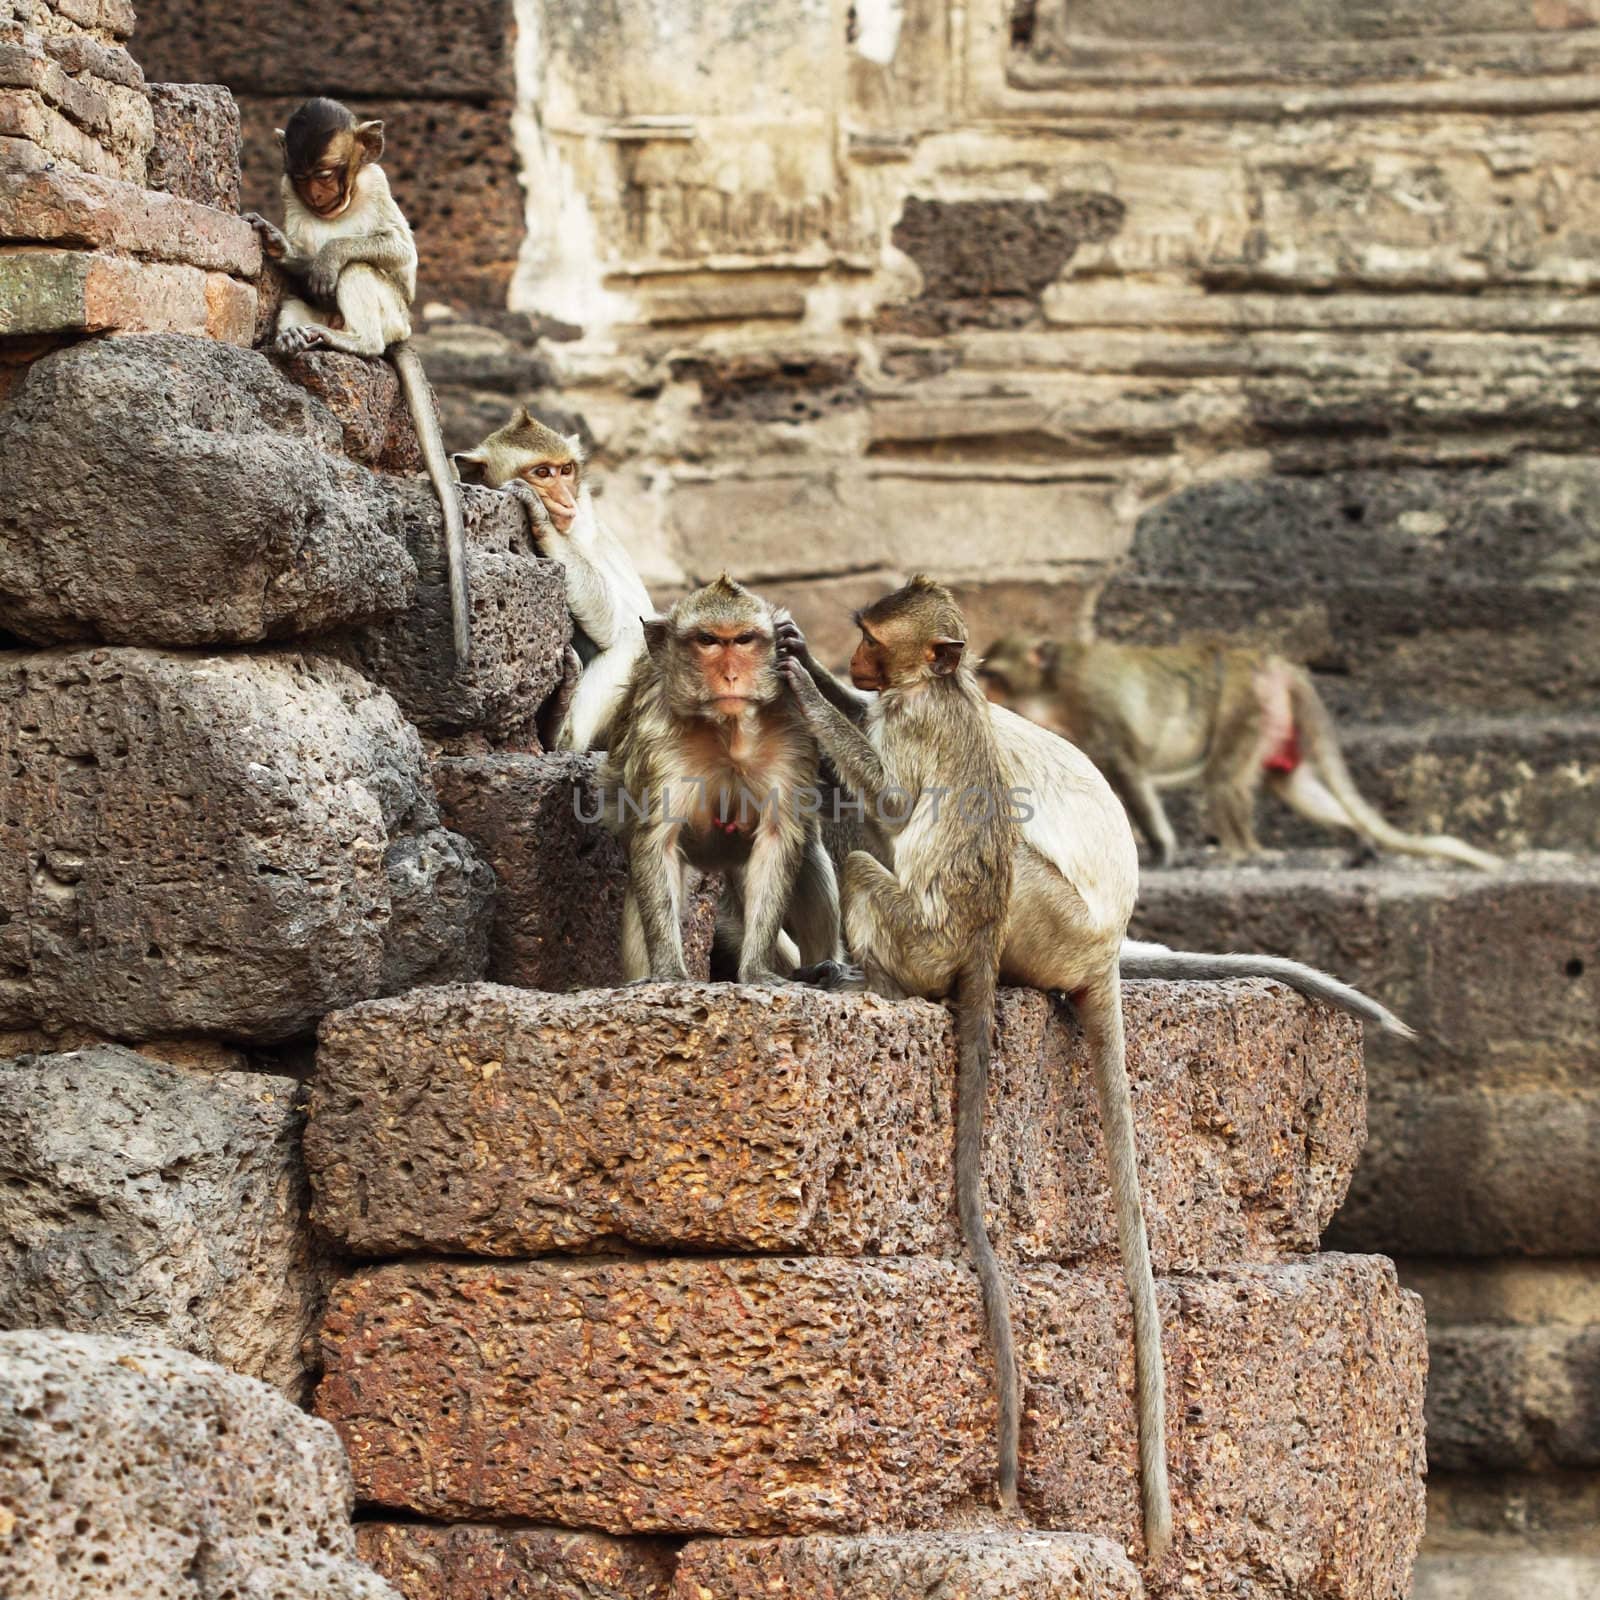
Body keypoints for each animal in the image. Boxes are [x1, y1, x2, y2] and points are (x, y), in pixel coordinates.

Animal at [243, 95, 467, 662]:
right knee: (297, 296)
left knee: (359, 273)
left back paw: (353, 340)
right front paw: (277, 244)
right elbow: (296, 264)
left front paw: (328, 255)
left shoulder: (378, 183)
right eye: (303, 178)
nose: (319, 196)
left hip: (391, 315)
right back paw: (296, 335)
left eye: (328, 174)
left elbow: (396, 250)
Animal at [454, 403, 652, 745]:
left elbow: (612, 619)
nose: (566, 500)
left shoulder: (582, 519)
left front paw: (541, 519)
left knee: (633, 635)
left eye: (566, 470)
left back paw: (562, 732)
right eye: (543, 473)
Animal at [601, 576, 844, 985]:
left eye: (744, 640)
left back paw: (820, 967)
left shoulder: (792, 732)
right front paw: (668, 970)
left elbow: (778, 839)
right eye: (708, 641)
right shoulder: (657, 738)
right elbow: (656, 841)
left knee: (808, 851)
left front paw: (757, 970)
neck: (729, 731)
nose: (730, 676)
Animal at [777, 576, 1024, 1510]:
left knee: (862, 865)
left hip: (917, 939)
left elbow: (885, 799)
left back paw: (869, 982)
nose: (854, 662)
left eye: (876, 641)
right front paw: (801, 658)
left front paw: (804, 693)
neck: (939, 685)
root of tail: (983, 940)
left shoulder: (909, 719)